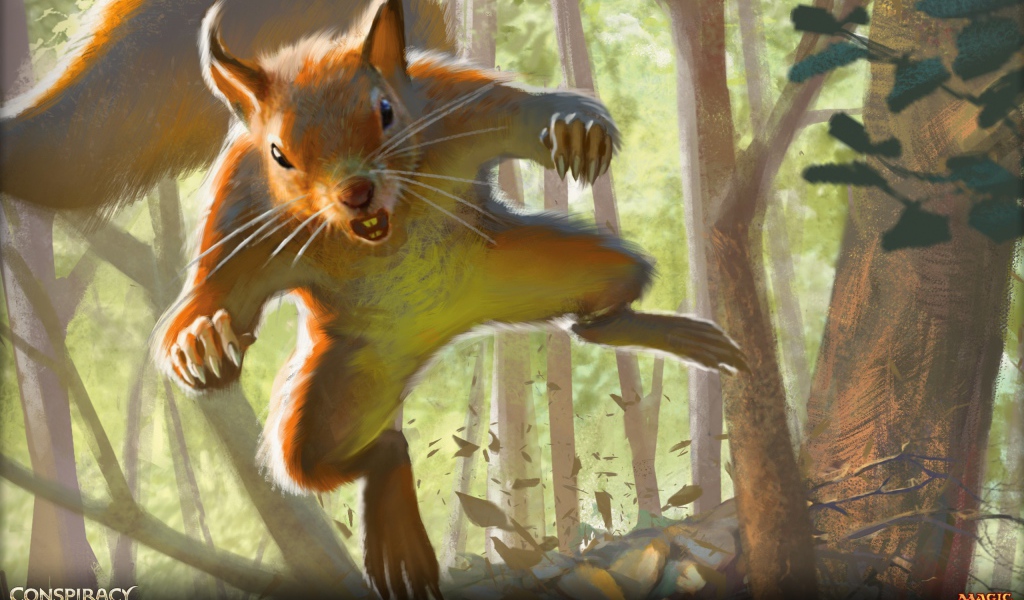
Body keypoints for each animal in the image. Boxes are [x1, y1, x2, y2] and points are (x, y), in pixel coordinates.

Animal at [154, 1, 747, 597]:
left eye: (386, 111)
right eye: (278, 153)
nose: (355, 193)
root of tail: (442, 326)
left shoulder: (458, 105)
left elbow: (523, 110)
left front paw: (575, 127)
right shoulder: (243, 210)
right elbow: (216, 290)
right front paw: (201, 339)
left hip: (552, 267)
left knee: (600, 310)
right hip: (340, 386)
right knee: (330, 459)